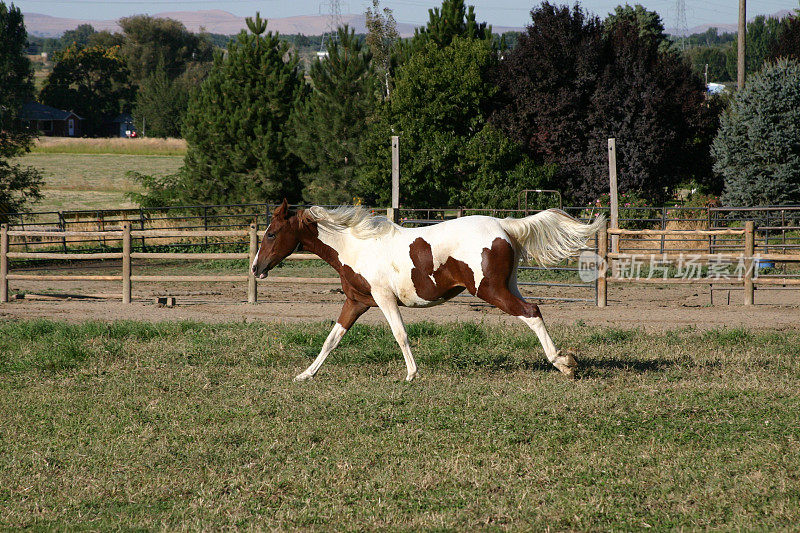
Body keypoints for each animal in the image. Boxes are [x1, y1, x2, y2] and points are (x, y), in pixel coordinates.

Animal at [253, 198, 604, 378]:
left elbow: (400, 334)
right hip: (509, 286)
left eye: (271, 234)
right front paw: (305, 374)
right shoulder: (357, 301)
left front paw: (411, 374)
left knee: (532, 312)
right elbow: (332, 339)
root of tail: (504, 225)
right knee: (533, 310)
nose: (256, 269)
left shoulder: (383, 298)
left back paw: (563, 363)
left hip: (490, 291)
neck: (356, 247)